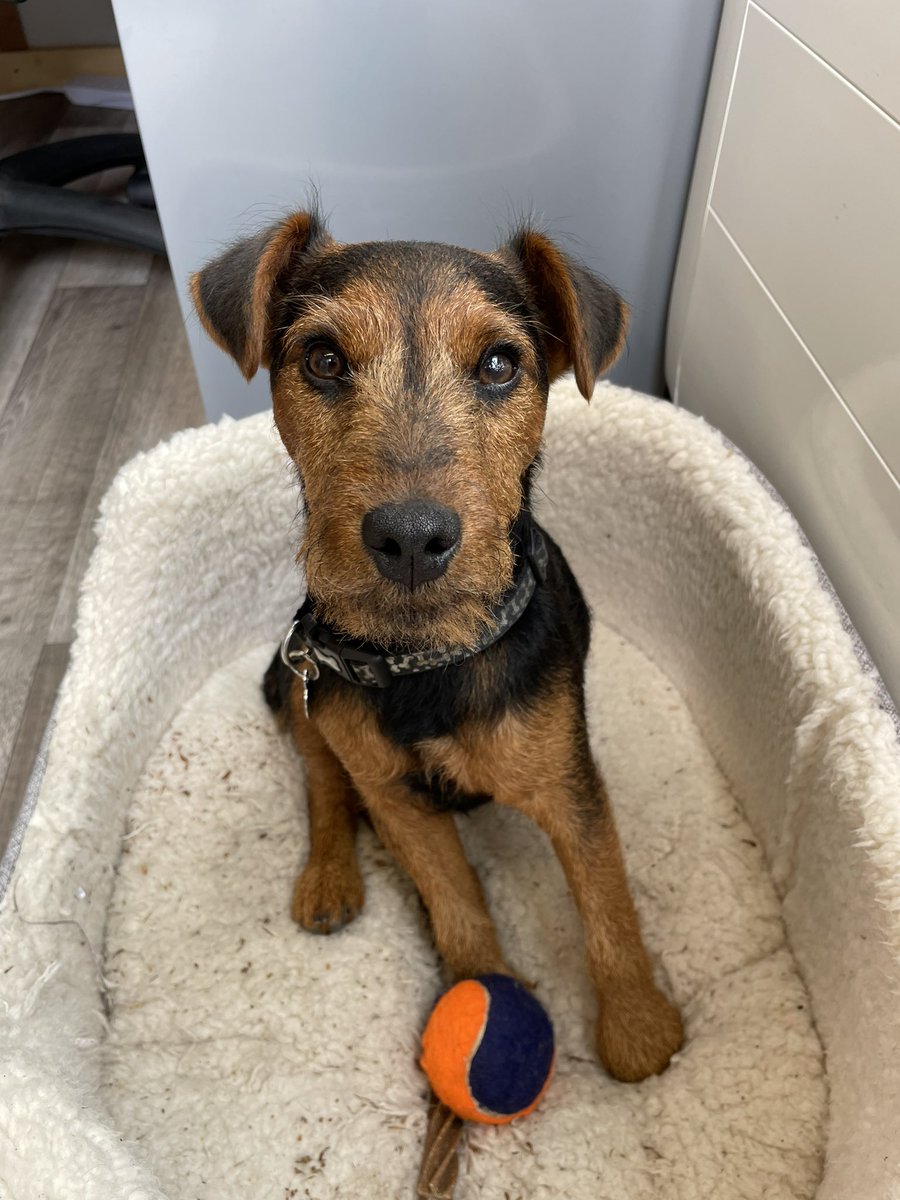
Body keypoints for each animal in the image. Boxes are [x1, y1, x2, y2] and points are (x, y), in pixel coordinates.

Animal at [190, 211, 681, 1084]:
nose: (412, 539)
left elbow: (607, 900)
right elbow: (455, 900)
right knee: (324, 784)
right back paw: (328, 878)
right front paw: (483, 996)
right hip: (300, 689)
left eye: (499, 364)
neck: (425, 660)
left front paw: (636, 1029)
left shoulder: (569, 786)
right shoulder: (397, 798)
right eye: (322, 359)